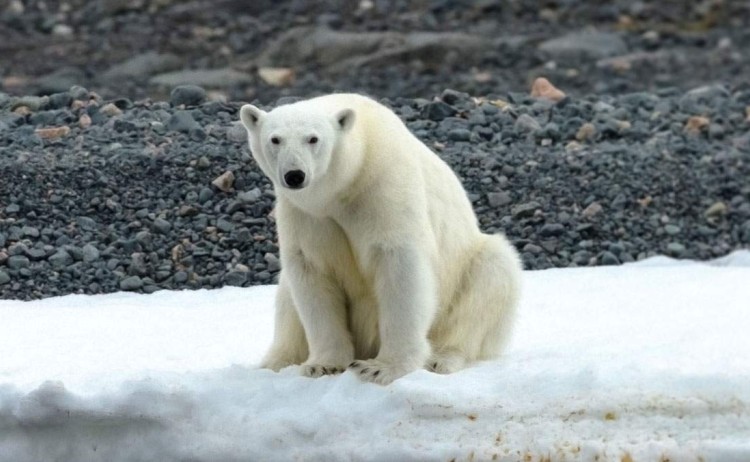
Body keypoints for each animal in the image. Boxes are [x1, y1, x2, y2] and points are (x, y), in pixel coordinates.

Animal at [239, 93, 522, 385]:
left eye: (313, 138)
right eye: (275, 139)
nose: (295, 175)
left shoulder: (383, 187)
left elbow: (400, 266)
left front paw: (381, 368)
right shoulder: (306, 214)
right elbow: (312, 273)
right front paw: (323, 365)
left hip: (466, 272)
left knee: (490, 276)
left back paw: (441, 358)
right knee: (287, 298)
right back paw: (274, 362)